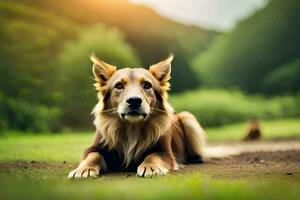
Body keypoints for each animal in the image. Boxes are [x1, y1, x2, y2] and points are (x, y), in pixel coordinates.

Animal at [67, 53, 206, 178]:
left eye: (147, 85)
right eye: (119, 85)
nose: (134, 100)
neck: (132, 127)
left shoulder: (166, 153)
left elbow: (153, 155)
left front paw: (150, 166)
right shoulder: (92, 148)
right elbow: (93, 155)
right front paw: (84, 169)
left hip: (187, 117)